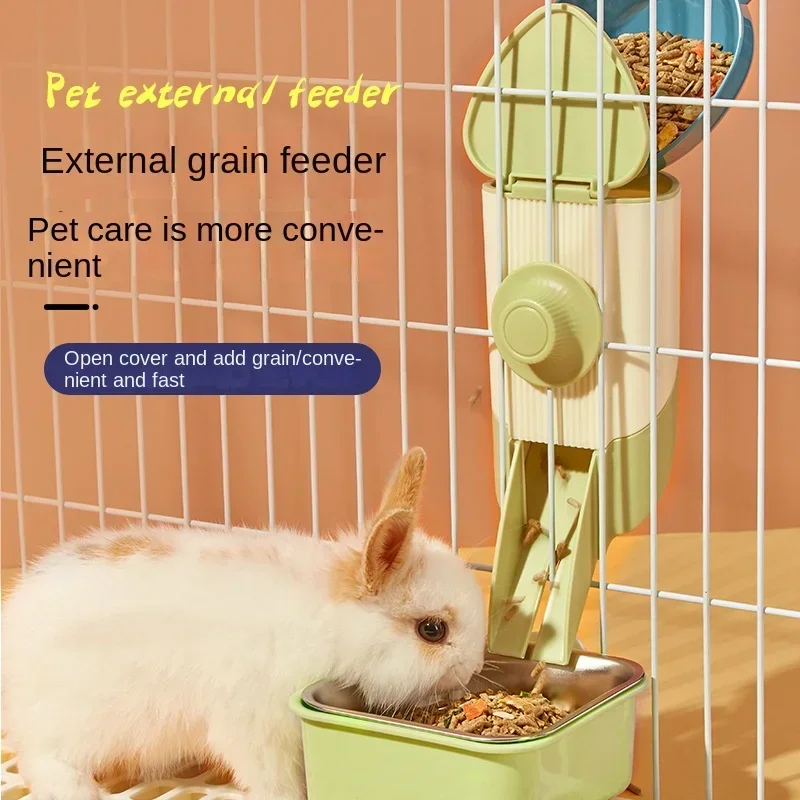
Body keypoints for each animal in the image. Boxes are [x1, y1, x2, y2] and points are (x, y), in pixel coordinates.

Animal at [1, 447, 487, 800]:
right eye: (432, 631)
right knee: (39, 757)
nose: (474, 668)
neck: (329, 625)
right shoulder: (254, 726)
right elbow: (274, 780)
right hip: (77, 722)